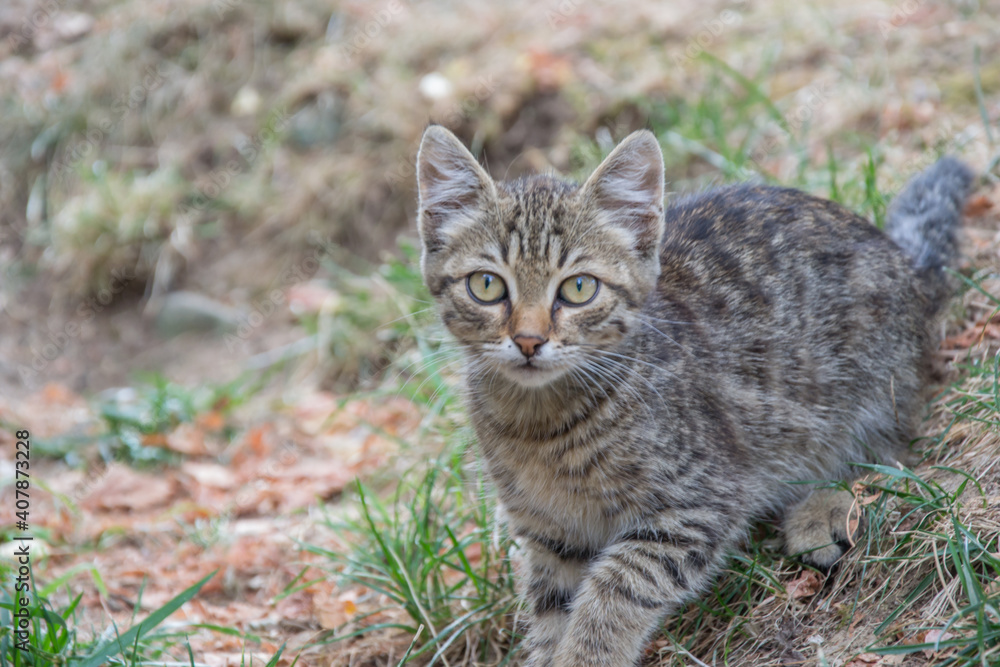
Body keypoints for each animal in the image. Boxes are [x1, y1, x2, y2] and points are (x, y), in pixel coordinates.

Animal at [410, 122, 972, 664]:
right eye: (486, 285)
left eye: (578, 288)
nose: (529, 340)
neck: (539, 423)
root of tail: (905, 261)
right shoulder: (552, 537)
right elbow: (551, 612)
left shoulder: (701, 500)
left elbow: (618, 587)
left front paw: (588, 654)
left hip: (862, 391)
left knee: (888, 454)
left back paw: (821, 509)